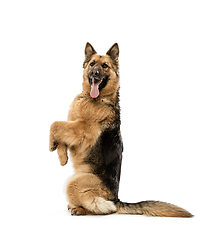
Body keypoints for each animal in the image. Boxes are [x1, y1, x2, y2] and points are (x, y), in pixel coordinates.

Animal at [49, 42, 193, 218]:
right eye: (92, 64)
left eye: (105, 66)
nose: (95, 73)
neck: (95, 98)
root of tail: (116, 199)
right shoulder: (72, 126)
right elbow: (60, 134)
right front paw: (62, 157)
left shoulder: (82, 131)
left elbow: (55, 124)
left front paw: (52, 145)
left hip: (74, 182)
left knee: (105, 209)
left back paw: (80, 209)